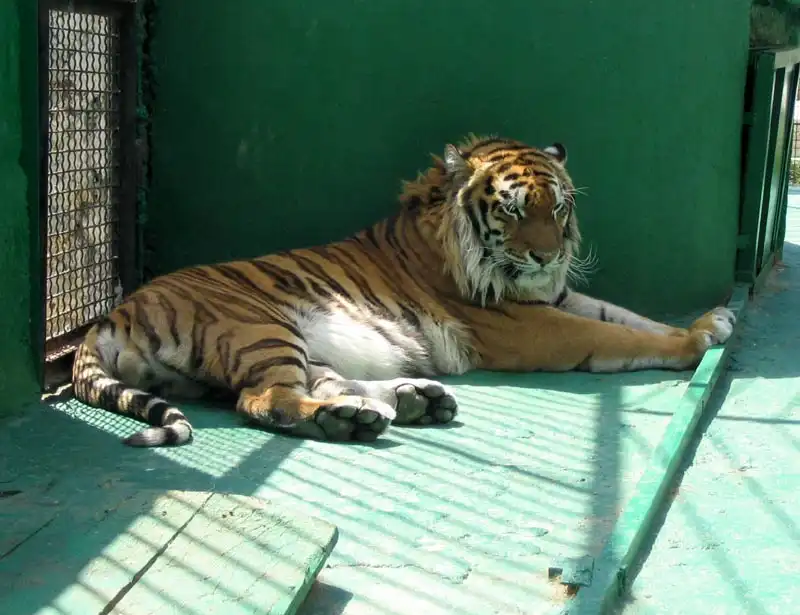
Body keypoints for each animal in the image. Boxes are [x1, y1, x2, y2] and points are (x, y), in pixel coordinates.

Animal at [72, 135, 736, 447]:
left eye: (559, 206)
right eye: (515, 209)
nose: (549, 256)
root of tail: (112, 313)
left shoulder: (550, 300)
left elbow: (627, 315)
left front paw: (710, 321)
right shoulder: (528, 325)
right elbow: (614, 335)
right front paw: (695, 342)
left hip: (279, 344)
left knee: (316, 383)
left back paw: (407, 401)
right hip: (258, 325)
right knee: (265, 400)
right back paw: (351, 420)